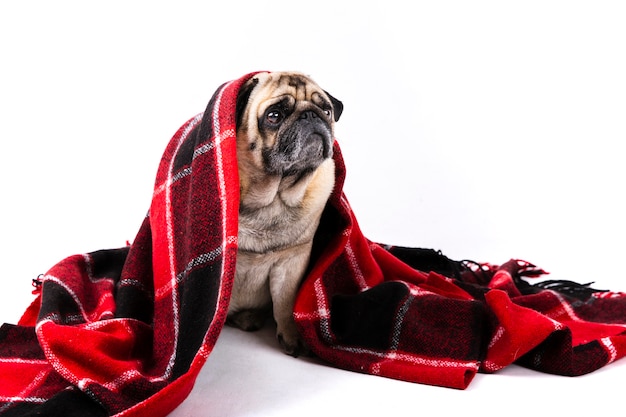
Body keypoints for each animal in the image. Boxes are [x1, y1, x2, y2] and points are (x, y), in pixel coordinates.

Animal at [227, 70, 342, 354]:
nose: (311, 115)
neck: (272, 198)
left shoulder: (292, 261)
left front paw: (293, 337)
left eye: (326, 110)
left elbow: (285, 304)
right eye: (274, 115)